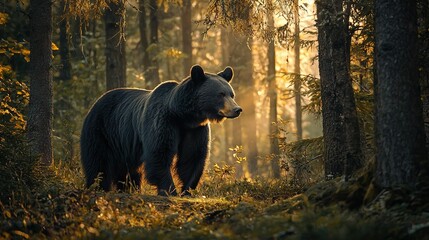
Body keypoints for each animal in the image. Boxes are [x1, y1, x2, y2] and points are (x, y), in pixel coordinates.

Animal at [80, 64, 241, 196]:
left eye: (231, 94)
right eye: (220, 94)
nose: (237, 109)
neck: (183, 115)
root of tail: (96, 102)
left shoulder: (195, 129)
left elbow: (192, 157)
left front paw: (186, 190)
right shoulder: (163, 121)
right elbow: (159, 153)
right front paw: (170, 191)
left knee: (128, 171)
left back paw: (129, 189)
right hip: (101, 130)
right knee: (98, 163)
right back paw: (97, 187)